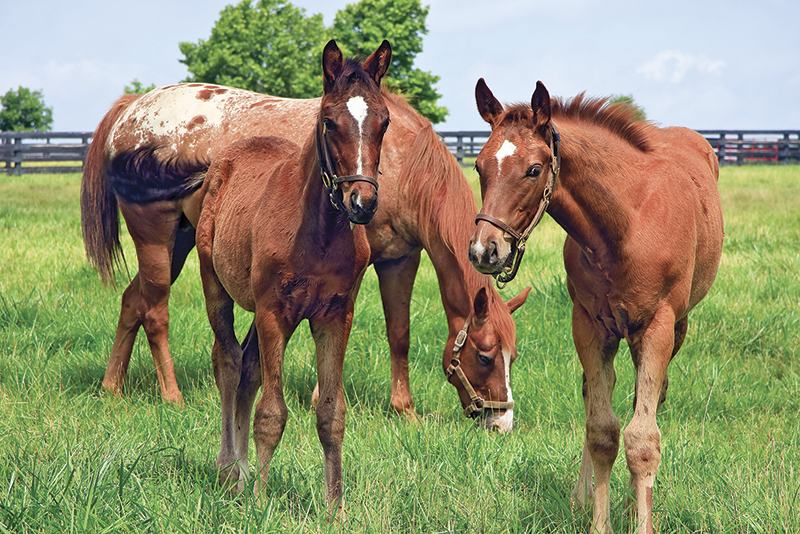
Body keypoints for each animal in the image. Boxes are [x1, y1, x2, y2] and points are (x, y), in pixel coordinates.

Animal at [81, 63, 529, 432]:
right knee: (155, 311)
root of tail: (131, 108)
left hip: (182, 239)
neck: (402, 162)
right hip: (156, 237)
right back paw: (172, 396)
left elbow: (398, 332)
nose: (501, 423)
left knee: (132, 300)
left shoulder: (400, 258)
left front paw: (405, 410)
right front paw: (319, 397)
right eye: (485, 355)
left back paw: (111, 387)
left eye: (514, 357)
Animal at [195, 39, 390, 508]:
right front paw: (261, 503)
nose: (362, 202)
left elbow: (331, 413)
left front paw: (335, 508)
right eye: (329, 120)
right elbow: (271, 412)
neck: (319, 233)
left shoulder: (335, 316)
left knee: (247, 366)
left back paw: (243, 471)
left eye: (385, 121)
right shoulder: (273, 312)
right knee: (228, 361)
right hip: (216, 286)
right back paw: (230, 471)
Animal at [468, 79, 723, 534]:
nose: (485, 250)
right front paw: (597, 516)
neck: (625, 225)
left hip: (676, 328)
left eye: (534, 169)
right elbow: (602, 429)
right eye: (480, 166)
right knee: (598, 396)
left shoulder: (656, 326)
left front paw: (641, 518)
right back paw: (582, 495)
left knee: (650, 401)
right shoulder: (588, 325)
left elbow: (643, 438)